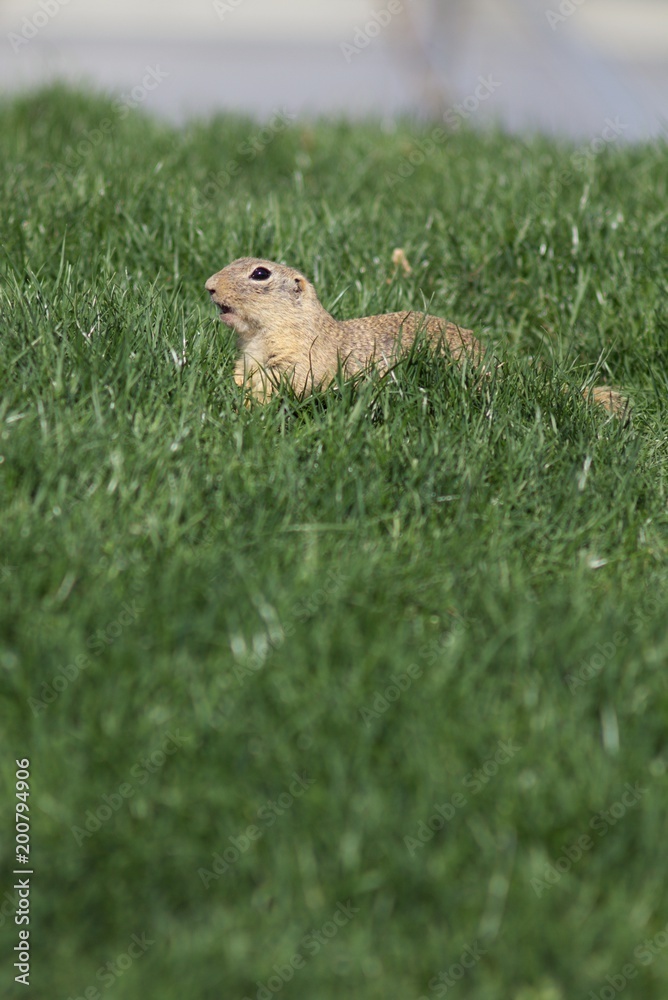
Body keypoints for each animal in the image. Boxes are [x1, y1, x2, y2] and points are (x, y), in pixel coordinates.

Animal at [205, 256, 627, 415]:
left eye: (260, 273)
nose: (208, 286)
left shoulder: (302, 357)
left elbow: (291, 383)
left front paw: (251, 406)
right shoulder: (248, 359)